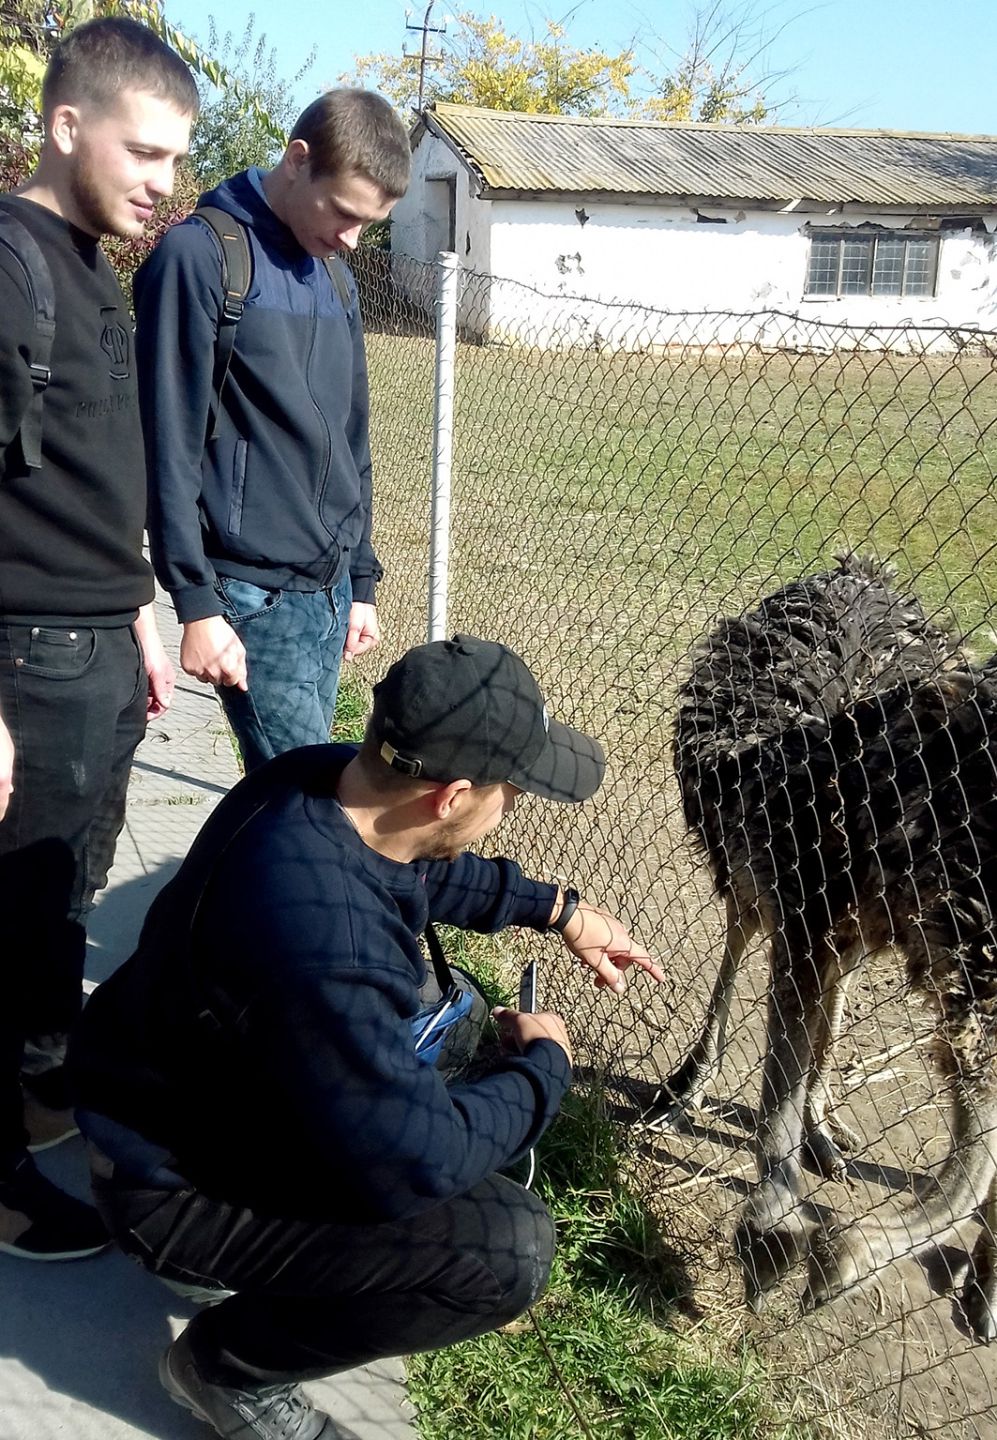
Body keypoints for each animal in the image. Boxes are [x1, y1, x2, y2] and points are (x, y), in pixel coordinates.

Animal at [658, 554, 997, 1342]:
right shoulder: (797, 898)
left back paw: (821, 1129)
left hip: (860, 922)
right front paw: (775, 1235)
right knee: (739, 936)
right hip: (758, 873)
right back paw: (695, 1081)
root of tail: (857, 570)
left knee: (830, 991)